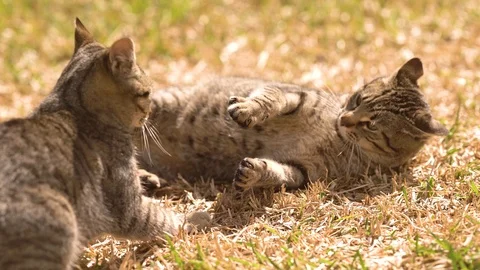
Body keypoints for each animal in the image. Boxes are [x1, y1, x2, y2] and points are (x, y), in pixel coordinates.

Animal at [0, 17, 205, 268]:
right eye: (147, 94)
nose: (150, 112)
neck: (70, 105)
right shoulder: (130, 210)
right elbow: (165, 218)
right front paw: (197, 218)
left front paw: (148, 177)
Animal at [137, 58, 448, 190]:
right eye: (358, 98)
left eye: (372, 126)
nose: (343, 119)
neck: (334, 135)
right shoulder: (295, 95)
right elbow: (268, 98)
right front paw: (247, 110)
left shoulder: (305, 171)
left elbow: (278, 173)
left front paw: (255, 174)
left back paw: (145, 179)